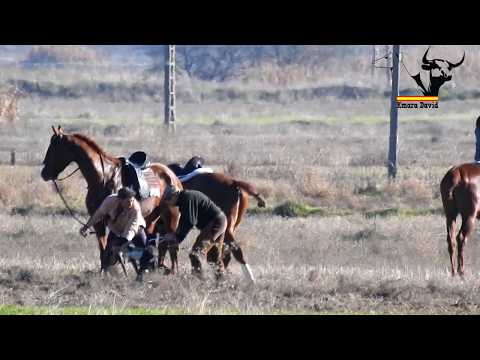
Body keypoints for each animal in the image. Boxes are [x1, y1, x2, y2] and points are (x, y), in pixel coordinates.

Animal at [39, 126, 182, 272]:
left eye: (55, 147)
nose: (44, 173)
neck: (104, 178)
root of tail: (173, 177)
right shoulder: (98, 221)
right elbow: (103, 251)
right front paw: (104, 272)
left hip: (172, 217)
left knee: (172, 246)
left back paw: (173, 271)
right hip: (151, 219)